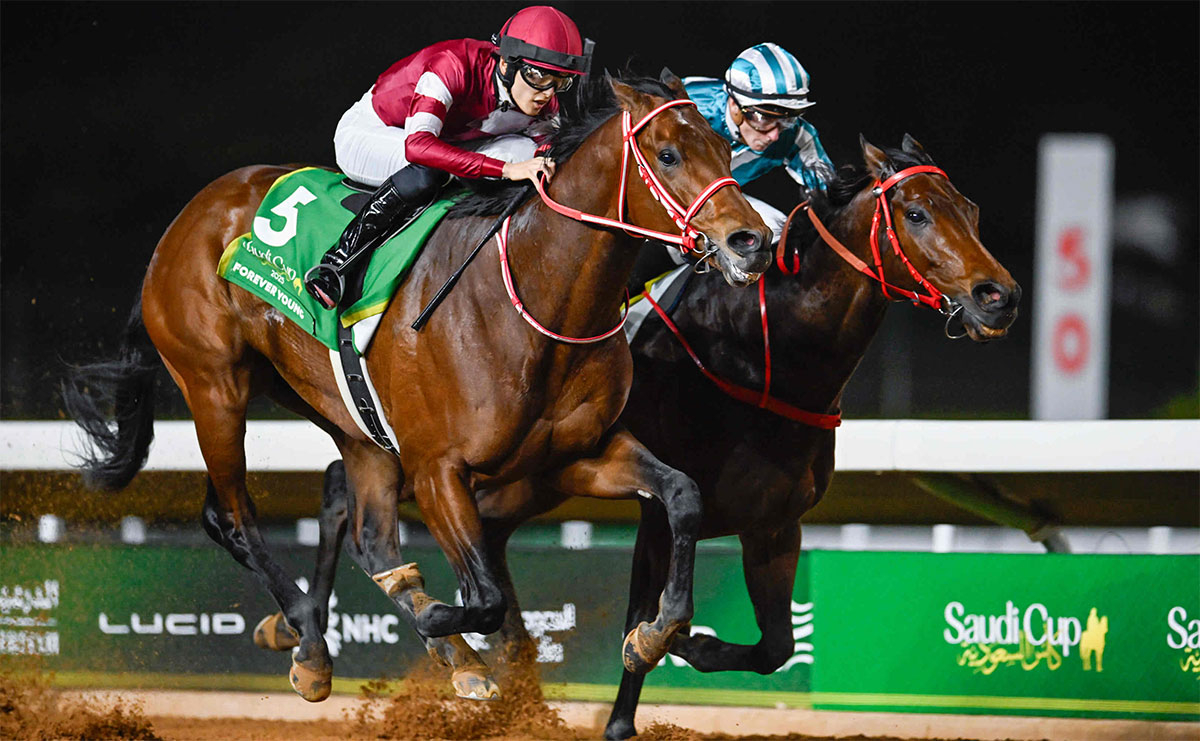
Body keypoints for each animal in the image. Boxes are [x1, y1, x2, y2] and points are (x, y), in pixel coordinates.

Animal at [62, 71, 772, 703]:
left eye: (725, 151)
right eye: (669, 154)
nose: (753, 241)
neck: (535, 300)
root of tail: (190, 216)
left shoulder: (575, 456)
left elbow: (682, 495)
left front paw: (655, 634)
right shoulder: (440, 471)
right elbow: (484, 600)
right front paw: (438, 627)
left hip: (342, 412)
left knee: (364, 529)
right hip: (215, 387)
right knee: (235, 517)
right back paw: (311, 642)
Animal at [275, 133, 1020, 732]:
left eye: (972, 210)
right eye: (917, 212)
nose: (999, 297)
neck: (766, 361)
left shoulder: (774, 525)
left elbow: (775, 646)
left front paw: (691, 644)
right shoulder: (657, 516)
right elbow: (647, 619)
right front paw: (636, 680)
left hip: (520, 482)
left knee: (460, 531)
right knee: (344, 489)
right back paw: (309, 644)